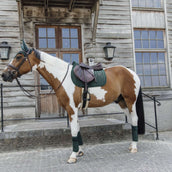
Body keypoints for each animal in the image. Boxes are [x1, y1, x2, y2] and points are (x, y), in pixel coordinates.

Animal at [1, 40, 145, 164]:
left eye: (19, 56)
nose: (4, 74)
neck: (61, 77)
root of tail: (132, 73)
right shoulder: (71, 109)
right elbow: (77, 129)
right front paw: (79, 152)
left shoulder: (72, 109)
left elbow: (74, 130)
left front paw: (73, 156)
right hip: (122, 102)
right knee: (131, 120)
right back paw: (131, 145)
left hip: (130, 101)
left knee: (134, 119)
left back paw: (134, 147)